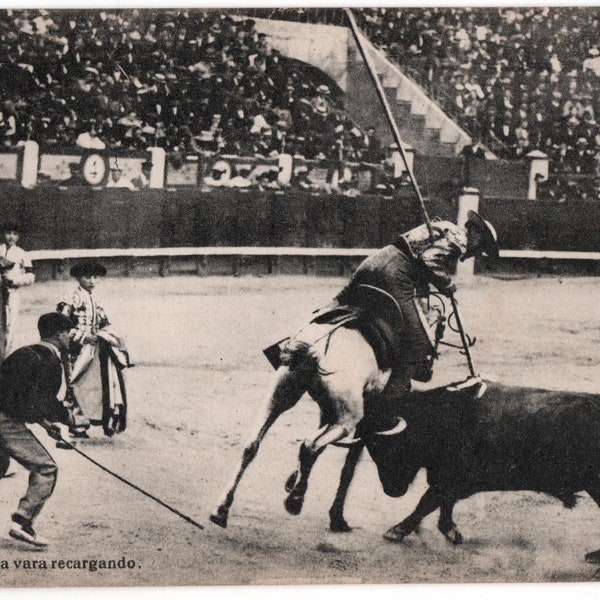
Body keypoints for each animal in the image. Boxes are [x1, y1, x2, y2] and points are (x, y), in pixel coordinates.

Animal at [352, 380, 600, 564]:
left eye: (389, 447)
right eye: (372, 449)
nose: (391, 491)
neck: (440, 419)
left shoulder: (450, 480)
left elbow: (427, 502)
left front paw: (396, 531)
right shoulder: (448, 480)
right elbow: (441, 504)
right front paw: (451, 531)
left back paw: (594, 556)